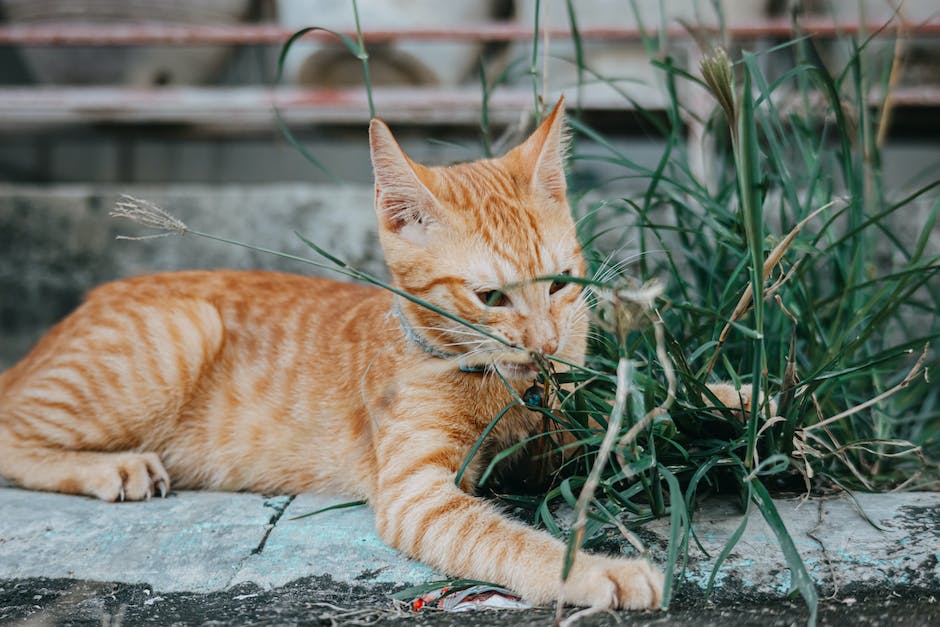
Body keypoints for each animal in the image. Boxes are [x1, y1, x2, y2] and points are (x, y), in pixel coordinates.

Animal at [0, 98, 660, 608]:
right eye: (490, 297)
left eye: (560, 284)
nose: (545, 344)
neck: (501, 387)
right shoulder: (416, 495)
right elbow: (510, 540)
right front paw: (600, 572)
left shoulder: (571, 426)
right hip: (183, 331)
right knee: (10, 431)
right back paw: (113, 466)